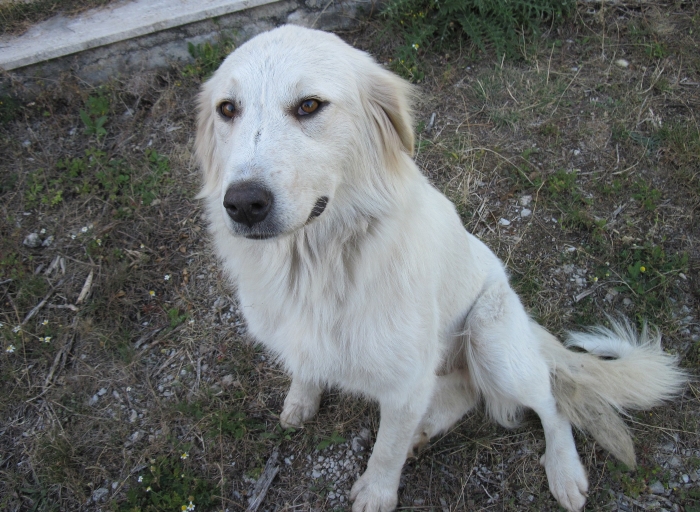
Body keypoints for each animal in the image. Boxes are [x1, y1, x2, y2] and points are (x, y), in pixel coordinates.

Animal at [194, 26, 688, 510]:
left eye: (309, 105)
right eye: (227, 109)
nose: (243, 204)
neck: (318, 263)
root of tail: (526, 322)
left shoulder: (405, 383)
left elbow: (386, 449)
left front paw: (376, 493)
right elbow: (307, 368)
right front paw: (302, 399)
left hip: (491, 337)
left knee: (550, 403)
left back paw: (563, 471)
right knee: (467, 391)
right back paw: (426, 429)